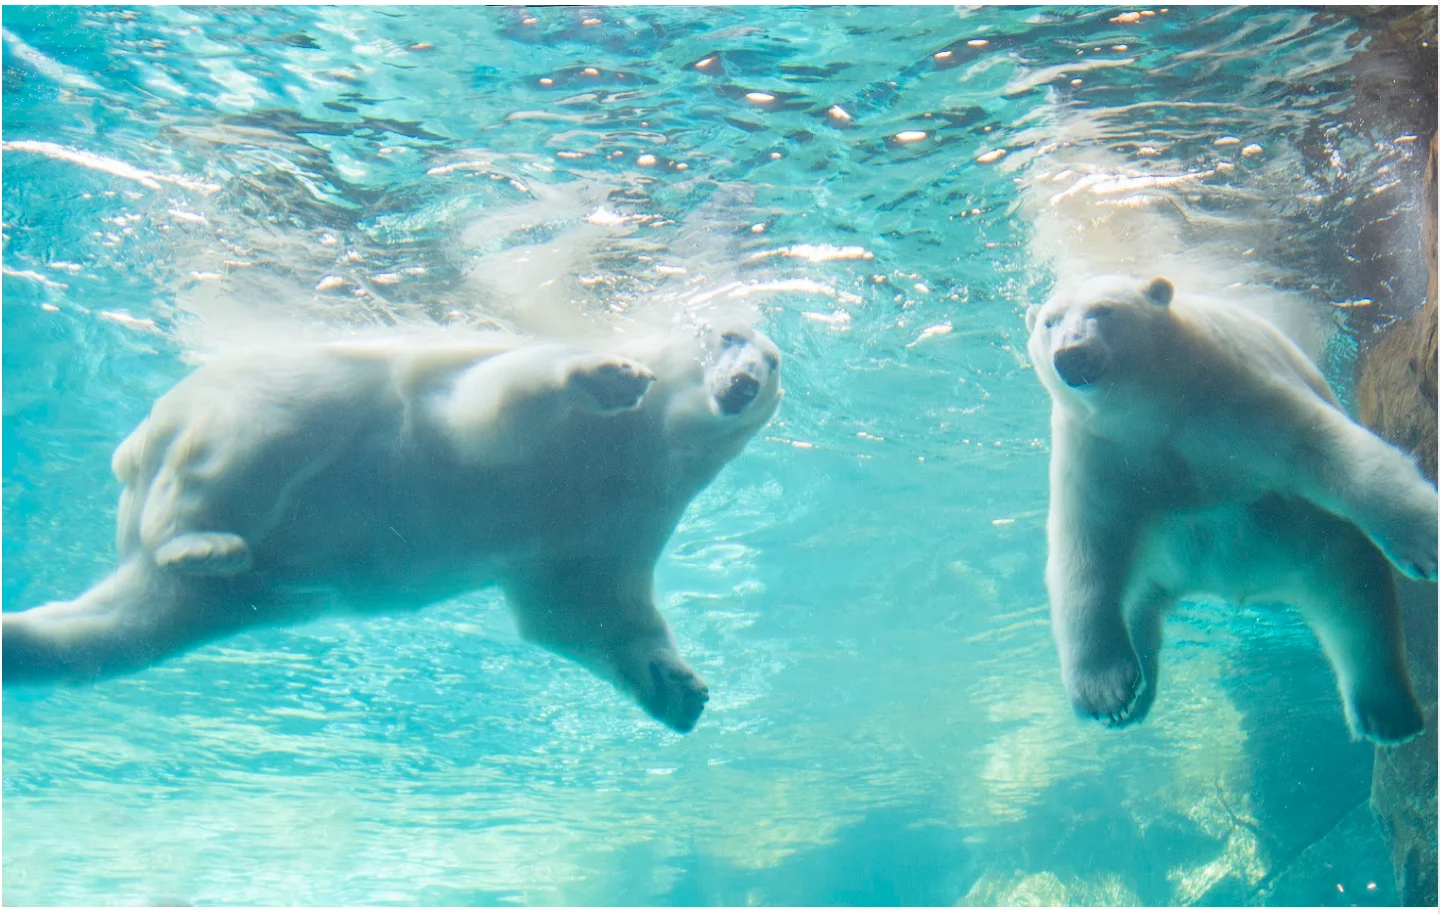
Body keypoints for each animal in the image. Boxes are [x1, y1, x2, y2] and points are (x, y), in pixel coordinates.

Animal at [2, 321, 783, 733]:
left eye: (771, 360)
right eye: (725, 335)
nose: (747, 376)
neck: (650, 442)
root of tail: (131, 452)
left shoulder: (626, 511)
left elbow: (579, 606)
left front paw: (678, 687)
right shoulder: (568, 435)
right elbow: (487, 410)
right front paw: (606, 373)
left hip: (239, 599)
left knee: (116, 632)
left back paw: (27, 637)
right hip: (248, 405)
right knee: (252, 442)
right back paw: (200, 539)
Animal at [1026, 273, 1439, 744]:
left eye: (1104, 310)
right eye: (1050, 322)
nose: (1070, 355)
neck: (1153, 408)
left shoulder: (1233, 396)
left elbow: (1328, 449)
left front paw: (1425, 541)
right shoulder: (1100, 452)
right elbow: (1086, 553)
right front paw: (1106, 694)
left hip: (1321, 547)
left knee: (1356, 607)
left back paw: (1388, 714)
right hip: (1165, 570)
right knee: (1139, 600)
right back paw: (1137, 694)